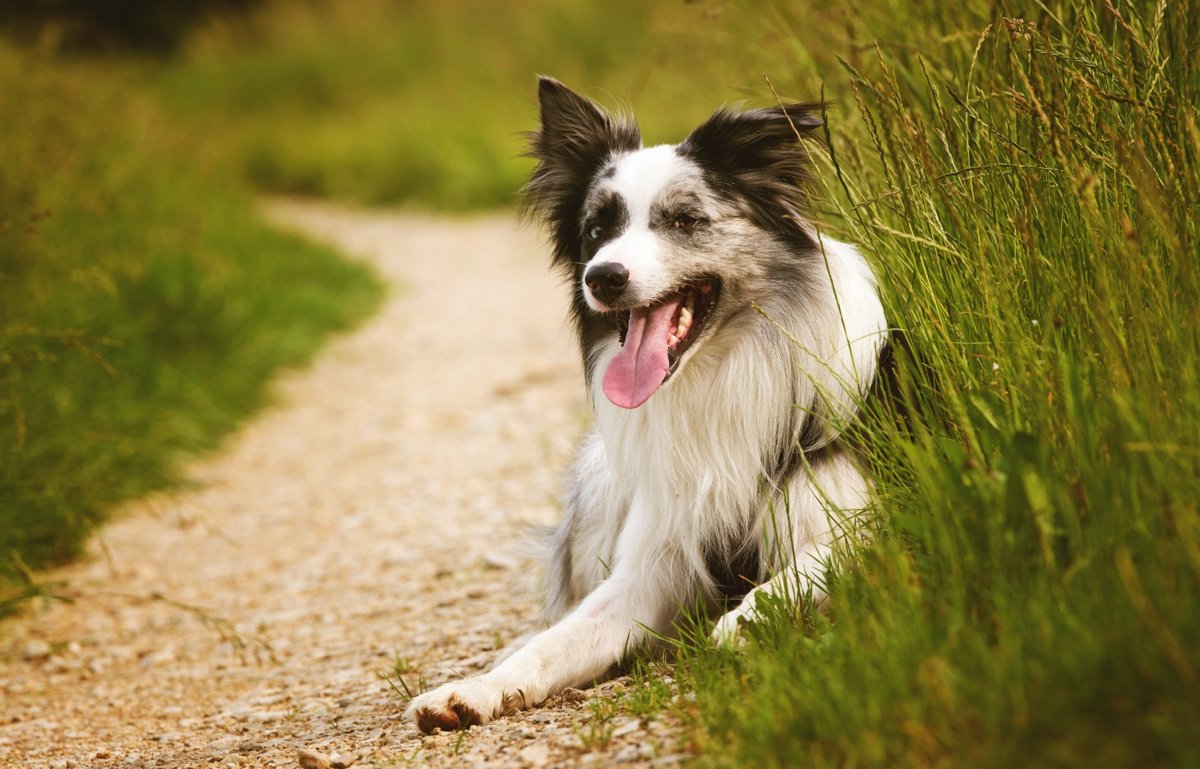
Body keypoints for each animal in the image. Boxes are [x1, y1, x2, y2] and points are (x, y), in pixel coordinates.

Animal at [408, 77, 888, 729]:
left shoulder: (865, 516)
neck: (719, 375)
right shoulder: (654, 557)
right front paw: (478, 687)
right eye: (596, 230)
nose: (603, 277)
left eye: (684, 220)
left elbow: (812, 564)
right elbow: (557, 640)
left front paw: (749, 619)